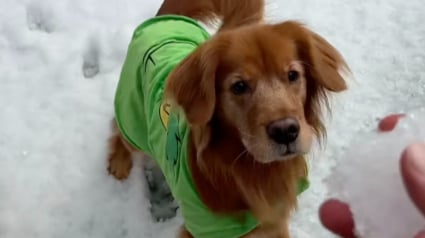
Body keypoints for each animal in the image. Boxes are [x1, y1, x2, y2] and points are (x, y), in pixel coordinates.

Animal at [107, 0, 348, 237]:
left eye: (292, 75)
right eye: (239, 86)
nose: (285, 131)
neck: (248, 171)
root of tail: (164, 20)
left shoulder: (275, 223)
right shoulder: (202, 229)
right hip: (133, 122)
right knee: (119, 130)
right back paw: (118, 163)